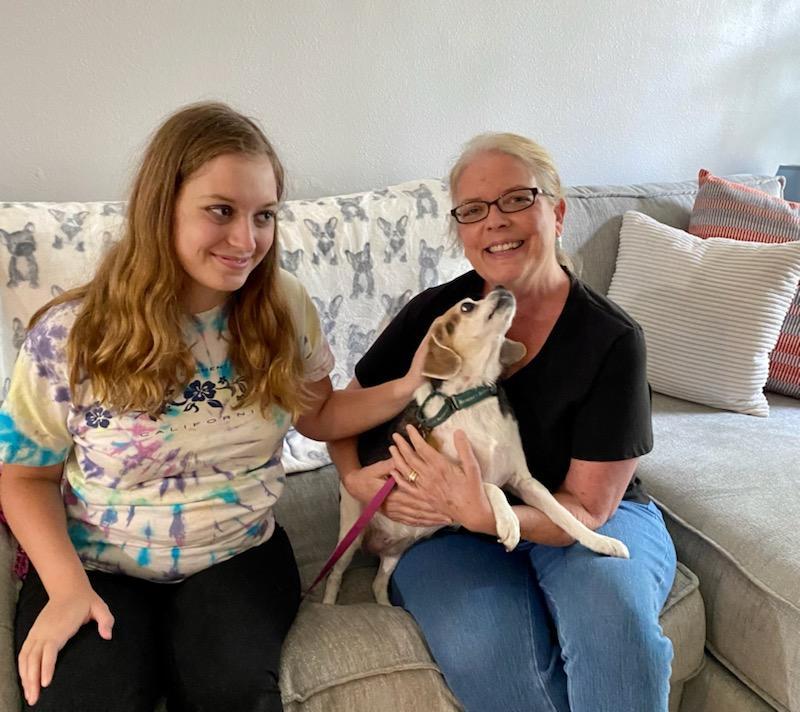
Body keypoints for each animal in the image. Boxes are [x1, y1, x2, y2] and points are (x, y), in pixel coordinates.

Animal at [324, 286, 632, 604]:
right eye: (467, 307)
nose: (501, 288)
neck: (471, 398)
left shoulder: (524, 481)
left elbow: (563, 514)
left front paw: (600, 541)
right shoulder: (447, 476)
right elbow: (489, 486)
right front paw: (509, 522)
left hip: (395, 554)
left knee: (378, 583)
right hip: (349, 536)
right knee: (335, 575)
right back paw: (328, 604)